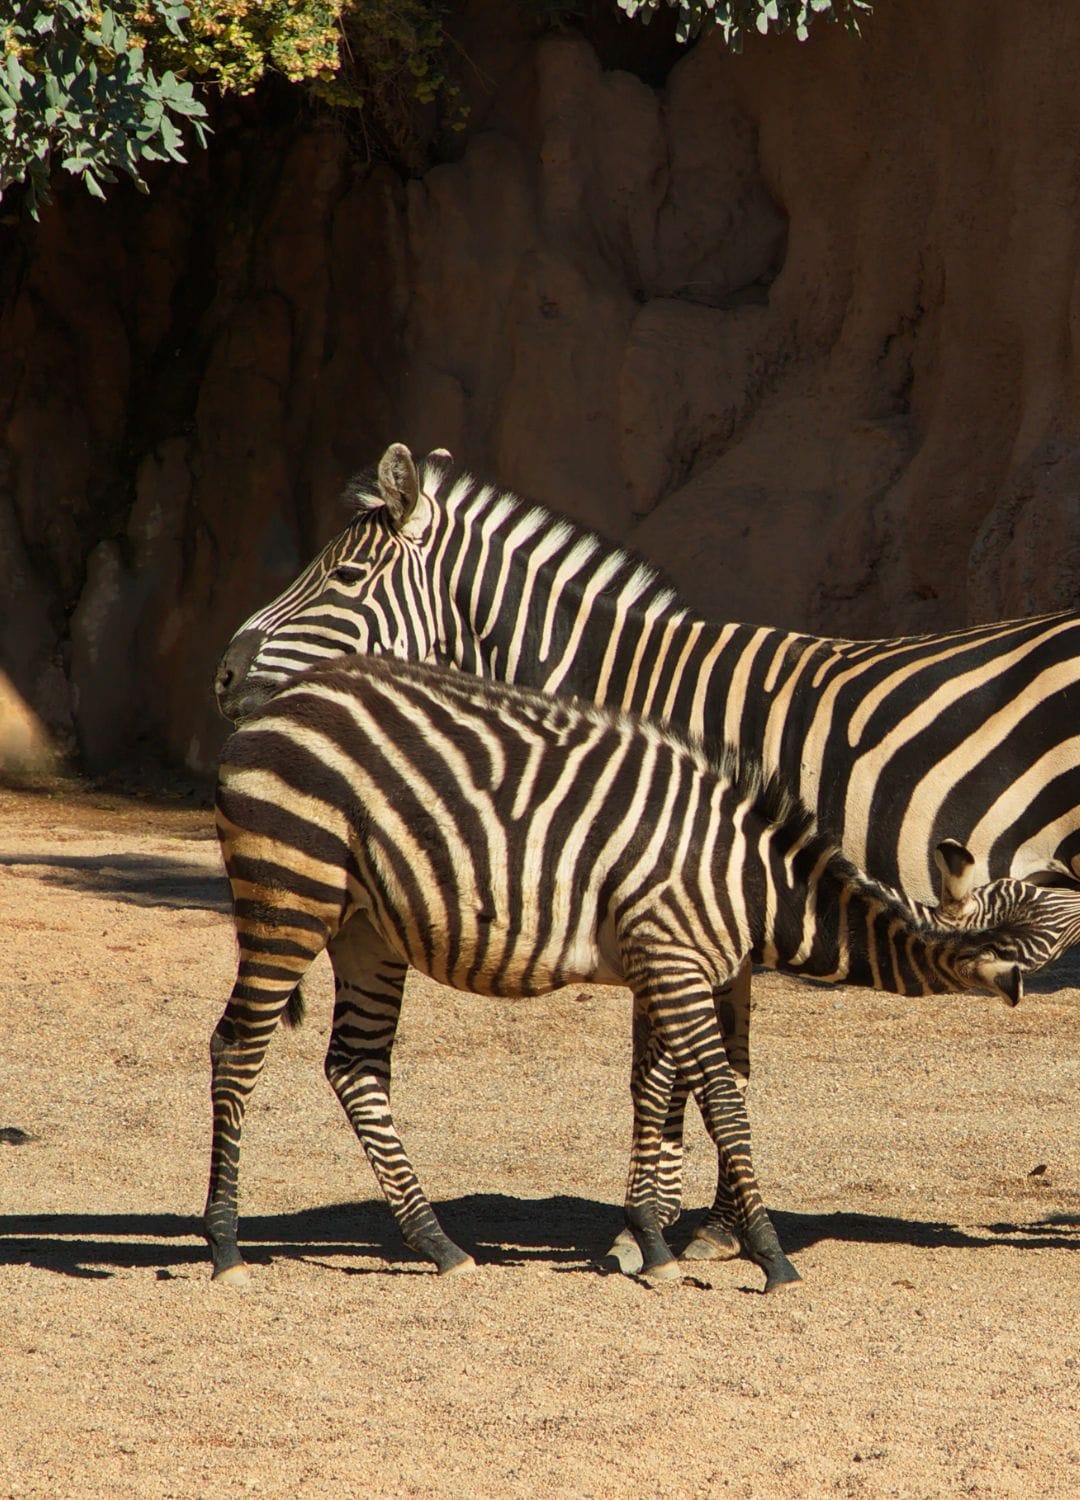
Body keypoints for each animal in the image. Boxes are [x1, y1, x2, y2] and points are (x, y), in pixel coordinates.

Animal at [213, 442, 1080, 1259]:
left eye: (347, 575)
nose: (222, 675)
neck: (626, 689)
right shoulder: (711, 895)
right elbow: (724, 1062)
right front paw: (719, 1226)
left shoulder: (673, 875)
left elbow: (656, 1070)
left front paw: (647, 1227)